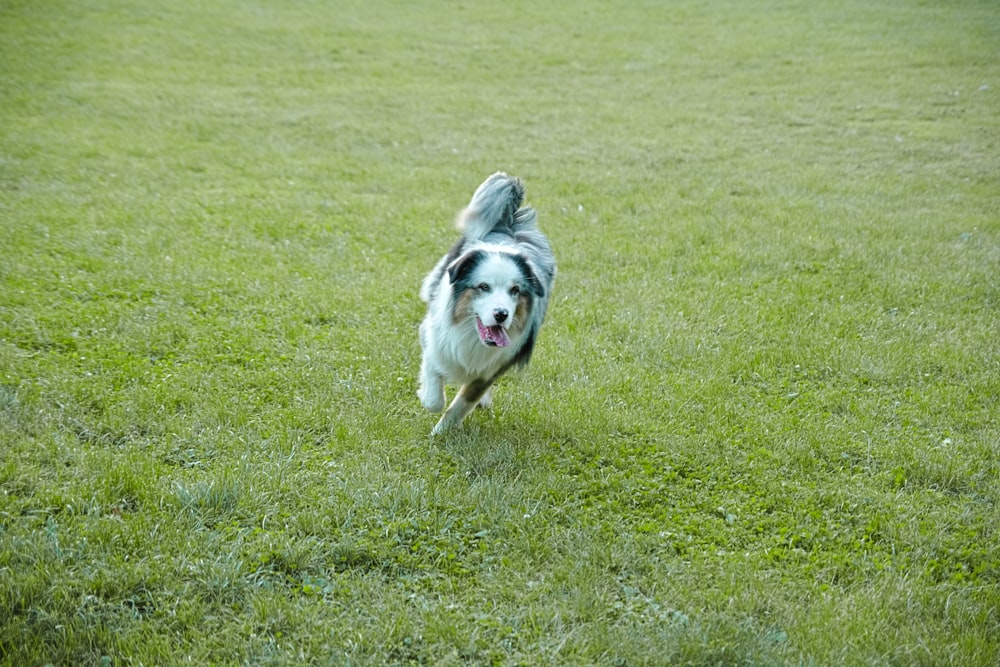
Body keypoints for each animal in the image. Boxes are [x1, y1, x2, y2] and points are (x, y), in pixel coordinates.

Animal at [416, 172, 556, 436]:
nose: (501, 314)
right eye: (483, 287)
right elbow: (434, 395)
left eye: (515, 290)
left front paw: (441, 432)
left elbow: (462, 403)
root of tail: (507, 225)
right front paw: (429, 401)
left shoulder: (493, 367)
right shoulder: (435, 339)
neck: (469, 334)